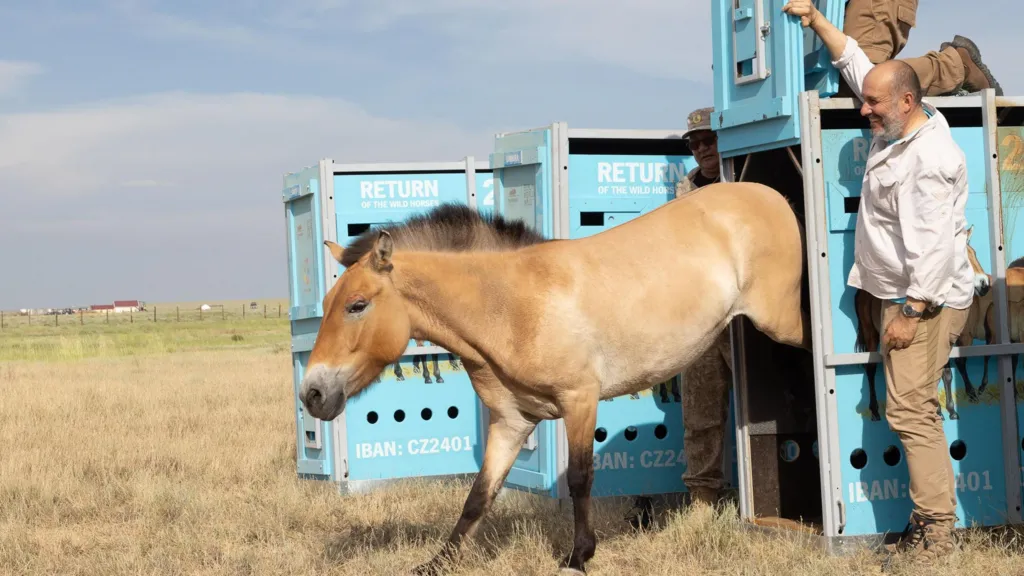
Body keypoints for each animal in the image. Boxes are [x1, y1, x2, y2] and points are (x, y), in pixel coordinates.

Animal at [299, 181, 811, 569]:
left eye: (357, 305)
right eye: (327, 305)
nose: (312, 394)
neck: (511, 305)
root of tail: (768, 195)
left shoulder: (580, 400)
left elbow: (580, 478)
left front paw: (578, 557)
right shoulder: (512, 422)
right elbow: (479, 495)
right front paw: (437, 563)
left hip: (783, 322)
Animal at [856, 225, 991, 422]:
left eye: (974, 253)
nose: (984, 284)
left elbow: (945, 373)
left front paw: (948, 410)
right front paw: (939, 410)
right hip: (870, 333)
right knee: (871, 367)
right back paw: (874, 411)